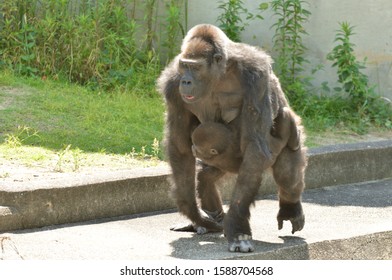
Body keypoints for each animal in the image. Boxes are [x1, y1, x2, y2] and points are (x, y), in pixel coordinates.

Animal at [156, 23, 306, 252]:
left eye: (196, 68)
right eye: (184, 66)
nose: (186, 81)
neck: (219, 74)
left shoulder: (256, 75)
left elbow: (255, 146)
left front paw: (236, 225)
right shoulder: (172, 84)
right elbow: (180, 147)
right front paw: (193, 212)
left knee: (287, 173)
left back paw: (291, 207)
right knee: (204, 176)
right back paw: (208, 220)